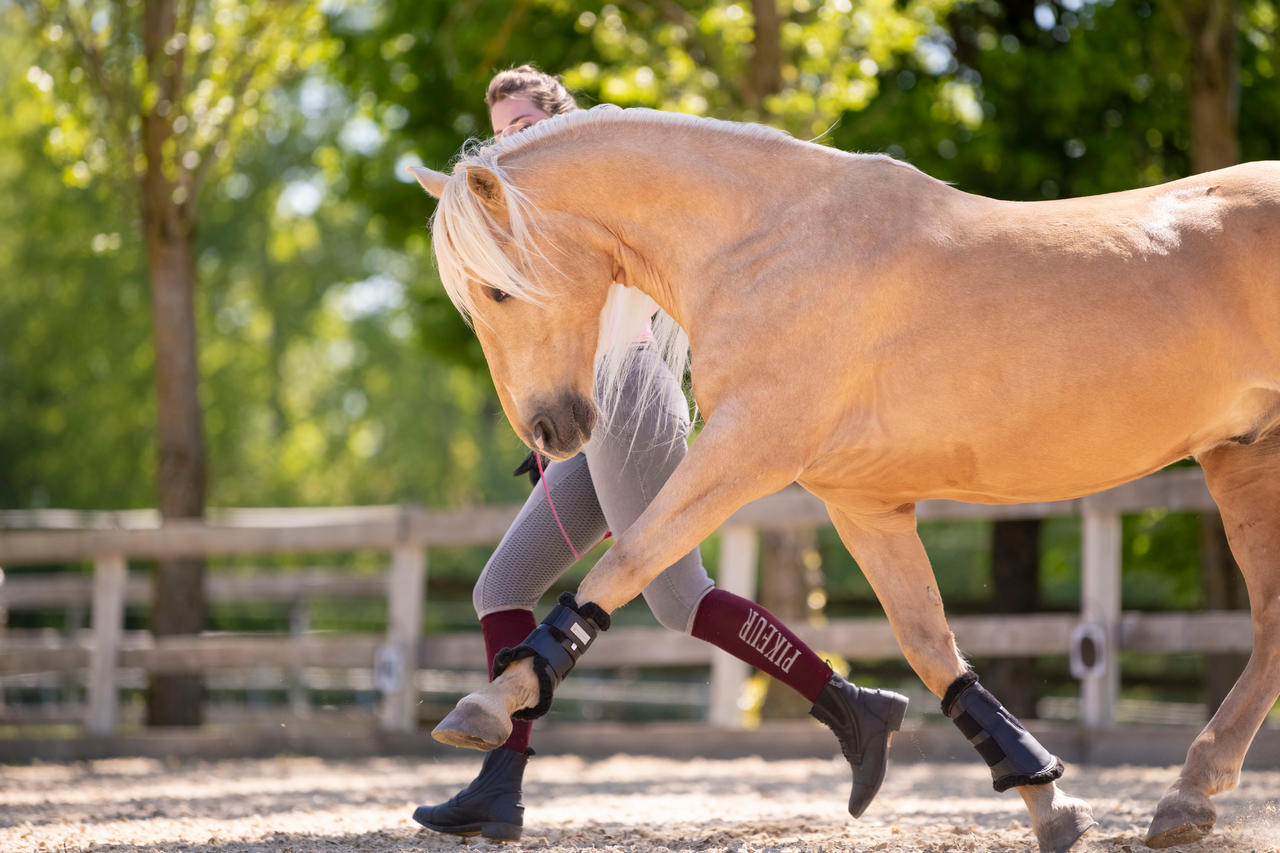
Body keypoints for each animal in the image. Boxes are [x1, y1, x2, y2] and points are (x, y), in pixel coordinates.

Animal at [407, 108, 1280, 850]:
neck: (767, 244)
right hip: (1242, 457)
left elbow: (627, 560)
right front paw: (1048, 801)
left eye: (496, 288)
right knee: (1270, 628)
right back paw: (1186, 800)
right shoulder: (866, 505)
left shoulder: (745, 451)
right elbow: (930, 646)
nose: (550, 433)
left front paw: (488, 702)